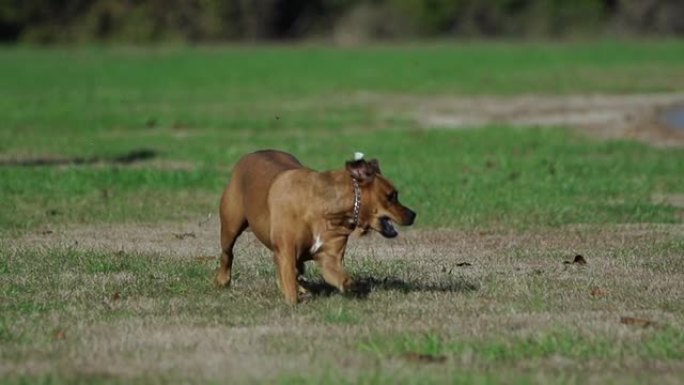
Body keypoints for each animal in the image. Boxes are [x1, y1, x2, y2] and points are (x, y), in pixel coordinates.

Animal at [216, 149, 414, 304]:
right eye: (391, 196)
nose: (413, 214)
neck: (324, 210)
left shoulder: (329, 258)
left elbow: (339, 276)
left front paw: (351, 287)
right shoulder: (287, 250)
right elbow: (289, 278)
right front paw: (292, 302)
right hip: (230, 227)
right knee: (228, 253)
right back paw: (223, 280)